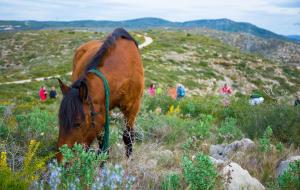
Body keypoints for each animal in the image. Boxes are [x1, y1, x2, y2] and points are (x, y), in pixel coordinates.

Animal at [57, 28, 145, 162]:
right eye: (60, 121)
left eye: (78, 123)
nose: (62, 161)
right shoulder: (102, 110)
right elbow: (102, 140)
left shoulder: (132, 108)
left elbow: (127, 137)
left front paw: (128, 160)